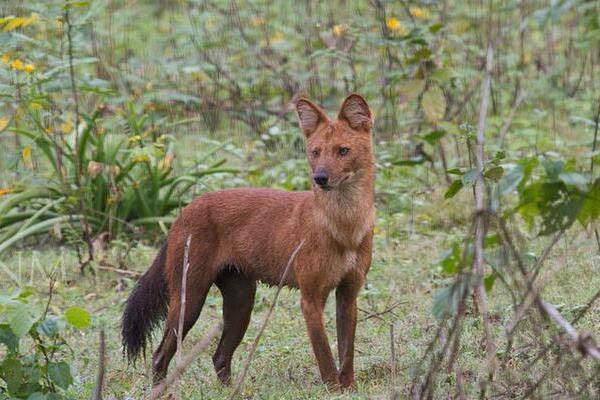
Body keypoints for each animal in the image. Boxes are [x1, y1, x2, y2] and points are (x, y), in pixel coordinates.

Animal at [122, 93, 376, 388]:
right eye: (315, 152)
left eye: (343, 151)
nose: (320, 177)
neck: (344, 226)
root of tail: (183, 212)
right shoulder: (310, 298)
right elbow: (324, 353)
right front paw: (334, 389)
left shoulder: (348, 293)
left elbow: (346, 352)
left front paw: (349, 388)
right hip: (190, 297)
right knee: (160, 353)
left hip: (242, 300)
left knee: (219, 356)